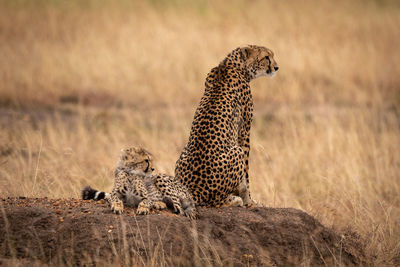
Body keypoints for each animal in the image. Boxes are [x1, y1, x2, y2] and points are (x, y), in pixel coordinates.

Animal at [175, 45, 278, 207]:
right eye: (266, 57)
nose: (276, 67)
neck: (230, 64)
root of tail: (195, 192)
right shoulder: (244, 131)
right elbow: (246, 174)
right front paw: (249, 200)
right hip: (236, 151)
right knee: (219, 202)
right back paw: (234, 200)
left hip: (183, 153)